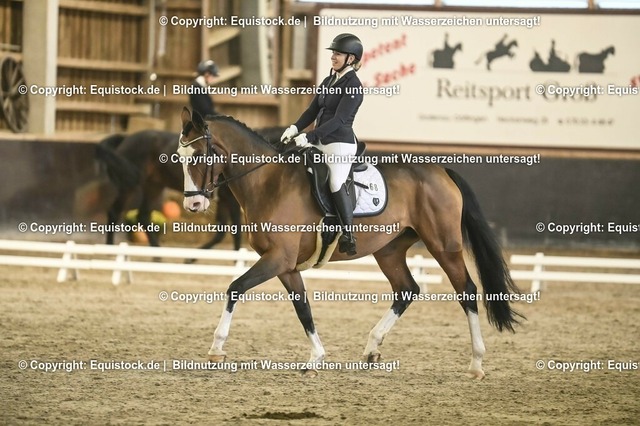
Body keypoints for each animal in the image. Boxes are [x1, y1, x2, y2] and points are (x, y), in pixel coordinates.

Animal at [177, 107, 523, 378]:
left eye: (201, 155)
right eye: (180, 157)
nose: (193, 205)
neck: (268, 183)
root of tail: (441, 170)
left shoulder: (278, 258)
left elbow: (235, 287)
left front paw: (216, 347)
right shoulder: (286, 266)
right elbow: (303, 308)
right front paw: (316, 358)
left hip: (443, 245)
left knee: (467, 291)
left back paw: (476, 363)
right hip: (389, 250)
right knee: (406, 289)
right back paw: (372, 347)